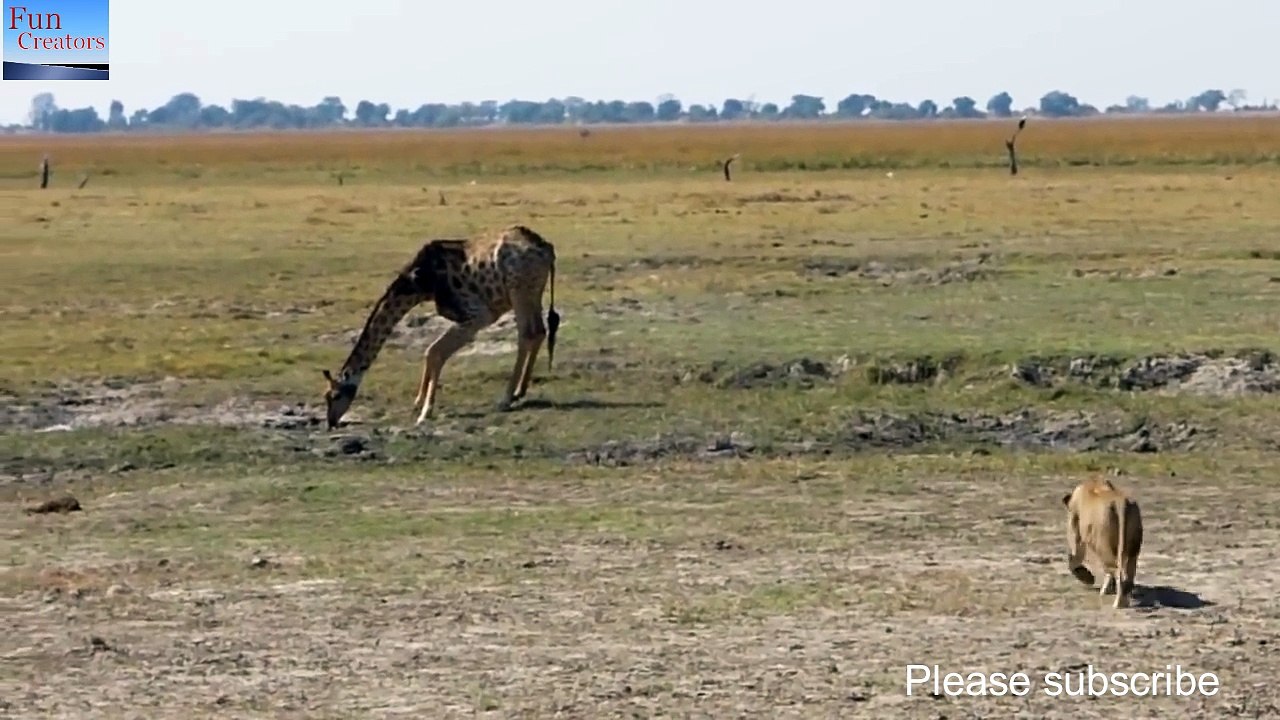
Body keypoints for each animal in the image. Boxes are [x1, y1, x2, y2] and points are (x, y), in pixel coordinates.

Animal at [321, 225, 560, 429]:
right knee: (539, 331)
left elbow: (436, 352)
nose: (331, 422)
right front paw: (418, 402)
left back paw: (505, 399)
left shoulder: (478, 315)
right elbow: (430, 351)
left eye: (334, 395)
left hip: (518, 290)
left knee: (526, 334)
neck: (420, 284)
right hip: (533, 292)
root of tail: (547, 249)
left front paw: (425, 412)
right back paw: (520, 391)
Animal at [1061, 476, 1144, 609]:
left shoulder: (1075, 521)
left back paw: (1115, 601)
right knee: (1128, 571)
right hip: (1133, 539)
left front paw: (1088, 579)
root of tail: (1121, 503)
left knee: (1115, 570)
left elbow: (1074, 555)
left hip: (1102, 540)